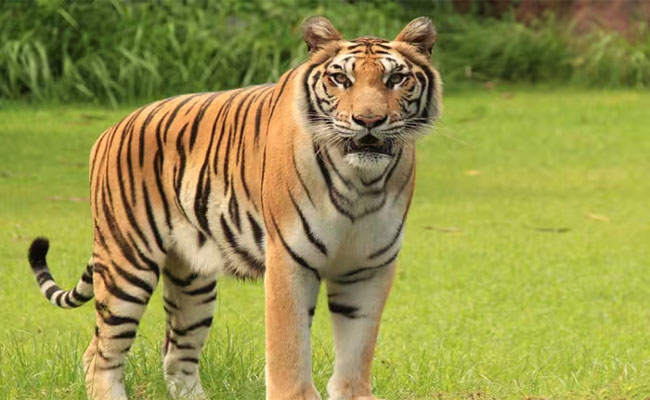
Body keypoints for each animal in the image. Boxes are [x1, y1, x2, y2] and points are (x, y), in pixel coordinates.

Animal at [27, 16, 441, 400]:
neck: (362, 182)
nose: (369, 121)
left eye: (396, 79)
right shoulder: (289, 260)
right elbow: (289, 350)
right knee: (100, 353)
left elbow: (357, 352)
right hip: (127, 264)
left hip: (192, 283)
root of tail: (111, 129)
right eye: (341, 79)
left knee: (175, 355)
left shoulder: (368, 268)